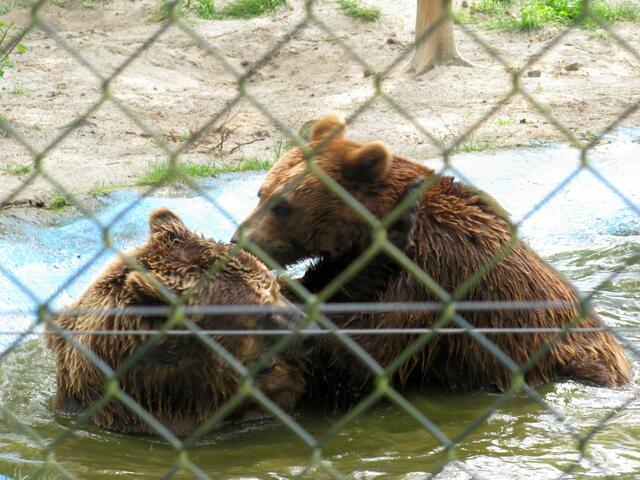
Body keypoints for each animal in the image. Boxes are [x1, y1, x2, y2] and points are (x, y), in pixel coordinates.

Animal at [233, 113, 631, 402]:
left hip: (571, 360)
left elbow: (371, 354)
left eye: (281, 205)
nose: (242, 238)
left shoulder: (444, 270)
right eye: (260, 192)